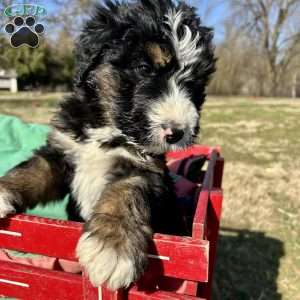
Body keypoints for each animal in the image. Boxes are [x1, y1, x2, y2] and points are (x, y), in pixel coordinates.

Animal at [0, 0, 216, 290]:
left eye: (194, 84)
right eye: (144, 68)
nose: (177, 132)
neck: (110, 127)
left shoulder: (143, 170)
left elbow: (123, 194)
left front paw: (111, 246)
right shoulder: (61, 152)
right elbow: (32, 170)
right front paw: (3, 189)